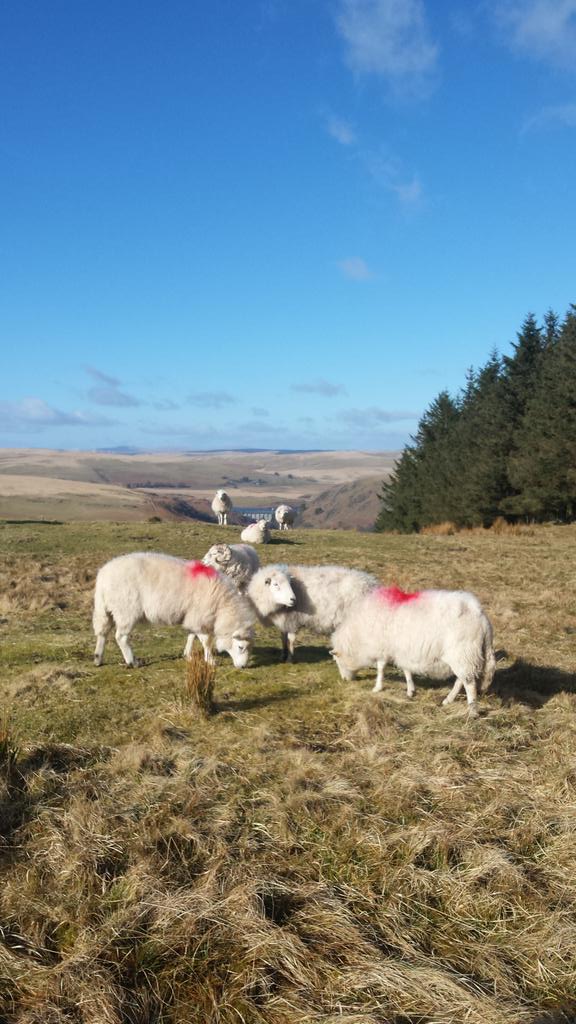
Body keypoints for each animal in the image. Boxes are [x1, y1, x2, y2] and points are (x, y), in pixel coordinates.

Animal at [93, 553, 254, 669]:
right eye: (241, 647)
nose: (243, 667)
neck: (223, 606)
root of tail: (103, 576)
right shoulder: (199, 615)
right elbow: (205, 641)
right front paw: (211, 661)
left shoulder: (192, 616)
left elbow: (191, 635)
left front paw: (187, 655)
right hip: (126, 610)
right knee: (121, 637)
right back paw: (132, 662)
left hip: (107, 609)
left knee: (102, 633)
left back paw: (98, 658)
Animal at [246, 563, 378, 661]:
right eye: (275, 584)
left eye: (290, 584)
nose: (293, 600)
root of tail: (370, 583)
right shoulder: (284, 620)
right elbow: (283, 638)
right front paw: (283, 655)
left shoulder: (293, 619)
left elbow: (291, 639)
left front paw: (290, 658)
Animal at [330, 585, 495, 715]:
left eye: (337, 660)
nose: (344, 680)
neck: (358, 636)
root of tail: (481, 618)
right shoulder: (401, 650)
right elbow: (406, 670)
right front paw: (410, 690)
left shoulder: (383, 648)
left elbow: (381, 668)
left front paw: (377, 688)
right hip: (465, 656)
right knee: (461, 680)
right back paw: (448, 700)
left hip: (463, 653)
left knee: (469, 684)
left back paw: (472, 711)